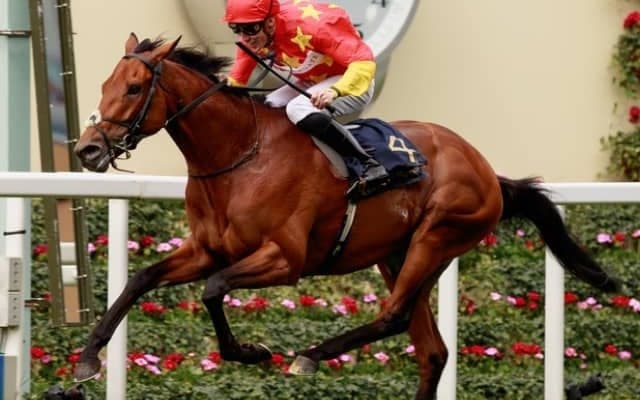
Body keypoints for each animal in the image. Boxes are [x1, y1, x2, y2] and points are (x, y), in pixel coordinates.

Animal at [72, 33, 620, 399]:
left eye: (134, 87)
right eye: (104, 82)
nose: (87, 149)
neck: (240, 155)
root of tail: (487, 170)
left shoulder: (284, 259)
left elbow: (212, 290)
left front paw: (253, 352)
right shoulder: (206, 249)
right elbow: (140, 279)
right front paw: (87, 358)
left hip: (438, 236)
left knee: (393, 317)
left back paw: (309, 356)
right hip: (398, 255)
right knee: (432, 350)